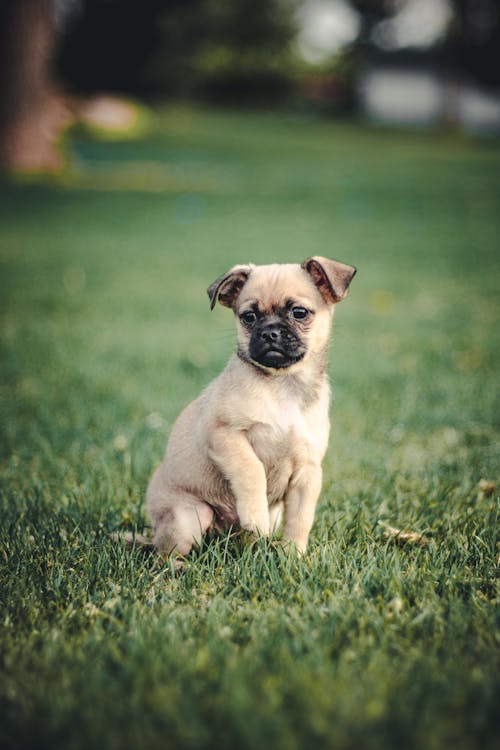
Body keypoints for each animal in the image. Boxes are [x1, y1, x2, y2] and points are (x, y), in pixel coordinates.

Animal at [146, 258, 356, 560]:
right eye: (249, 317)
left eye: (299, 313)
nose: (269, 332)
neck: (283, 384)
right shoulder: (225, 435)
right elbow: (252, 470)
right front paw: (256, 516)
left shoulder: (308, 474)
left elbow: (301, 519)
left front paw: (294, 555)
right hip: (190, 517)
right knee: (164, 554)